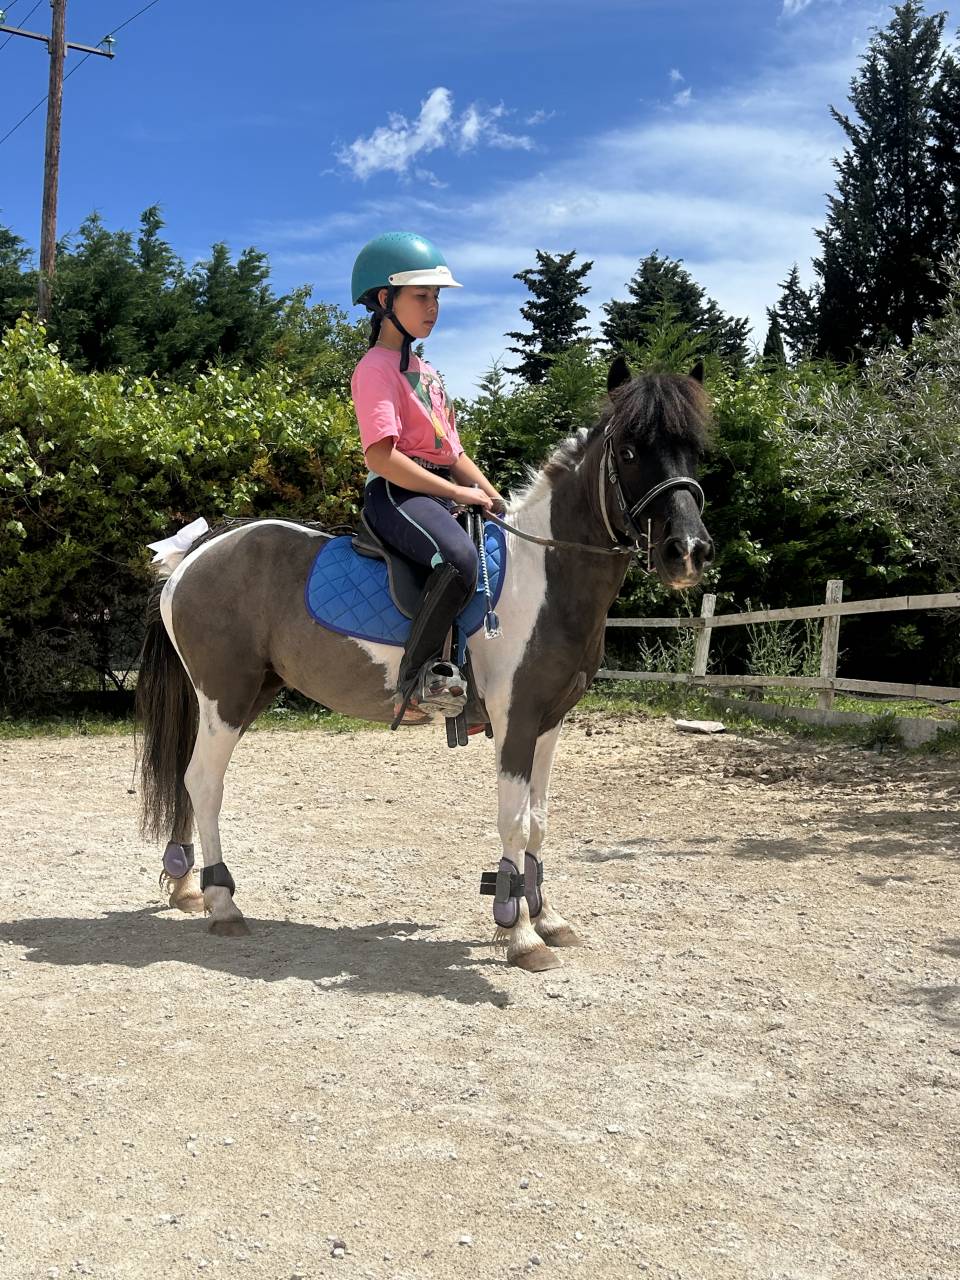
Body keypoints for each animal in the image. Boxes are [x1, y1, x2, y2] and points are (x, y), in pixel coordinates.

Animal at [136, 356, 714, 972]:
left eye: (694, 451)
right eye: (628, 451)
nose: (688, 551)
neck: (545, 574)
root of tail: (197, 553)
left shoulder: (550, 722)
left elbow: (539, 820)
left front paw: (548, 918)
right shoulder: (516, 719)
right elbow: (514, 821)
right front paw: (520, 933)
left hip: (245, 695)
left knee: (189, 779)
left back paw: (188, 887)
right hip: (226, 696)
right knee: (204, 782)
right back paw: (223, 903)